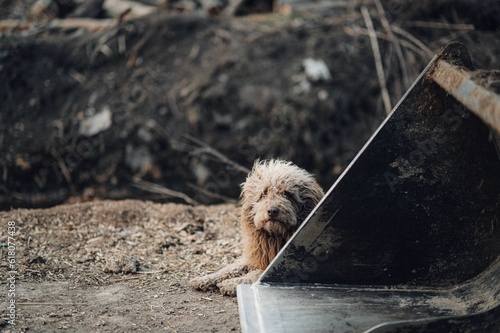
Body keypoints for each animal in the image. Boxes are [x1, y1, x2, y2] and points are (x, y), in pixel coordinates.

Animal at [188, 160, 324, 294]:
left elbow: (254, 275)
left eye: (287, 194)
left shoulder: (284, 267)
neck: (275, 236)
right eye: (264, 193)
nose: (272, 211)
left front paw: (229, 283)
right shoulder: (255, 258)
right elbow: (229, 268)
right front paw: (205, 278)